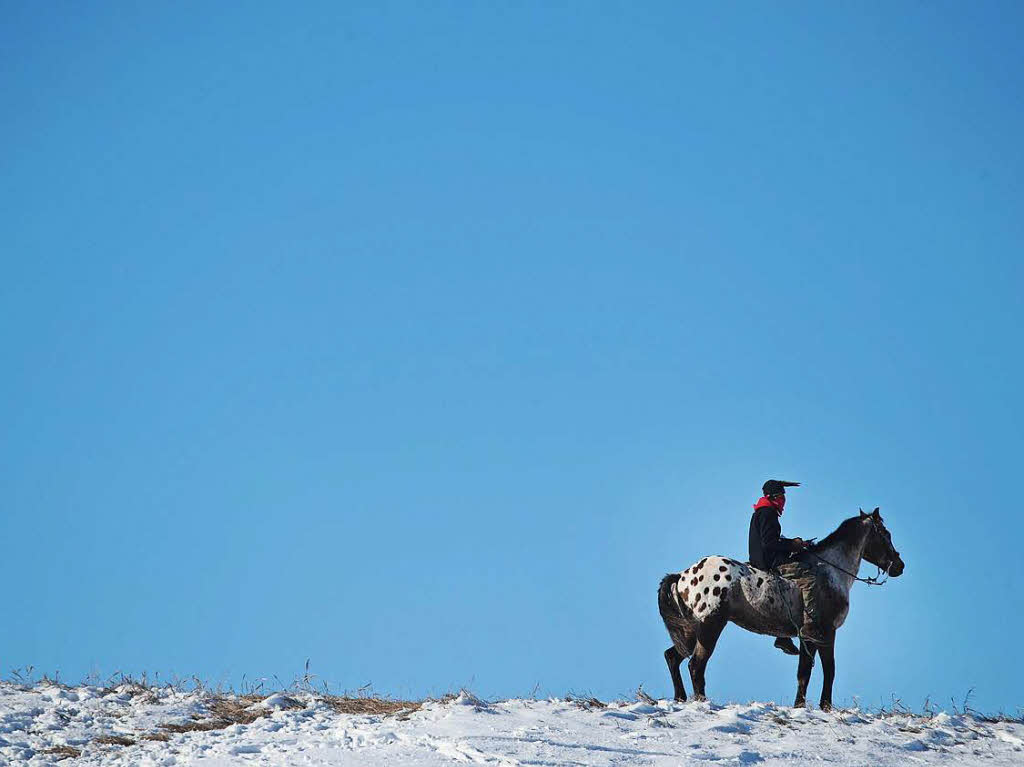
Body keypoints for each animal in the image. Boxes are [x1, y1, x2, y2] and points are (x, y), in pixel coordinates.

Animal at [655, 505, 905, 708]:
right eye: (886, 534)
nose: (899, 565)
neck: (831, 572)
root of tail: (683, 575)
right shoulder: (825, 632)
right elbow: (828, 669)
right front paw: (825, 706)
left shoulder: (808, 636)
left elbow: (804, 672)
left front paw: (800, 706)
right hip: (710, 627)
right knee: (696, 665)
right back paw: (702, 702)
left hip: (689, 631)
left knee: (673, 657)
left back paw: (680, 698)